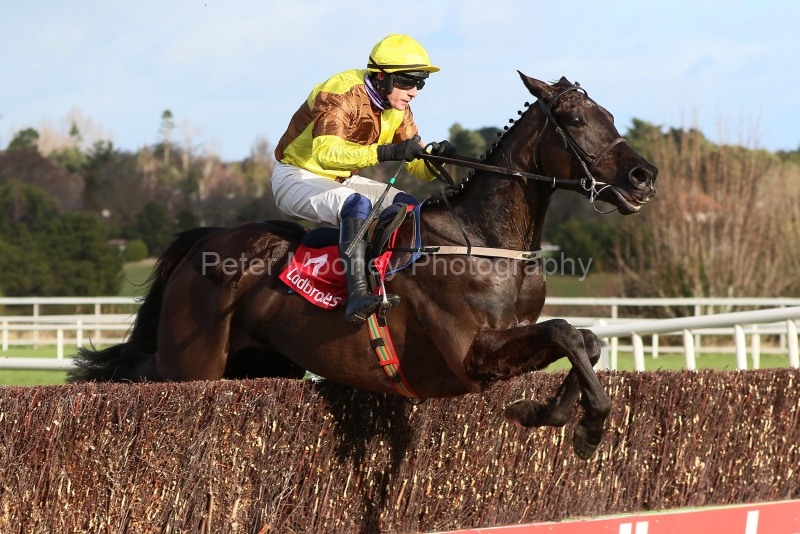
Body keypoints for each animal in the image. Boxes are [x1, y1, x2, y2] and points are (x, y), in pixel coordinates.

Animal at [70, 72, 657, 459]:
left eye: (610, 116)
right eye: (576, 119)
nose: (643, 176)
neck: (484, 241)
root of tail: (204, 240)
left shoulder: (507, 341)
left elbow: (585, 340)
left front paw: (561, 416)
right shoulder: (470, 357)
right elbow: (564, 331)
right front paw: (578, 423)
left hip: (260, 362)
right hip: (192, 365)